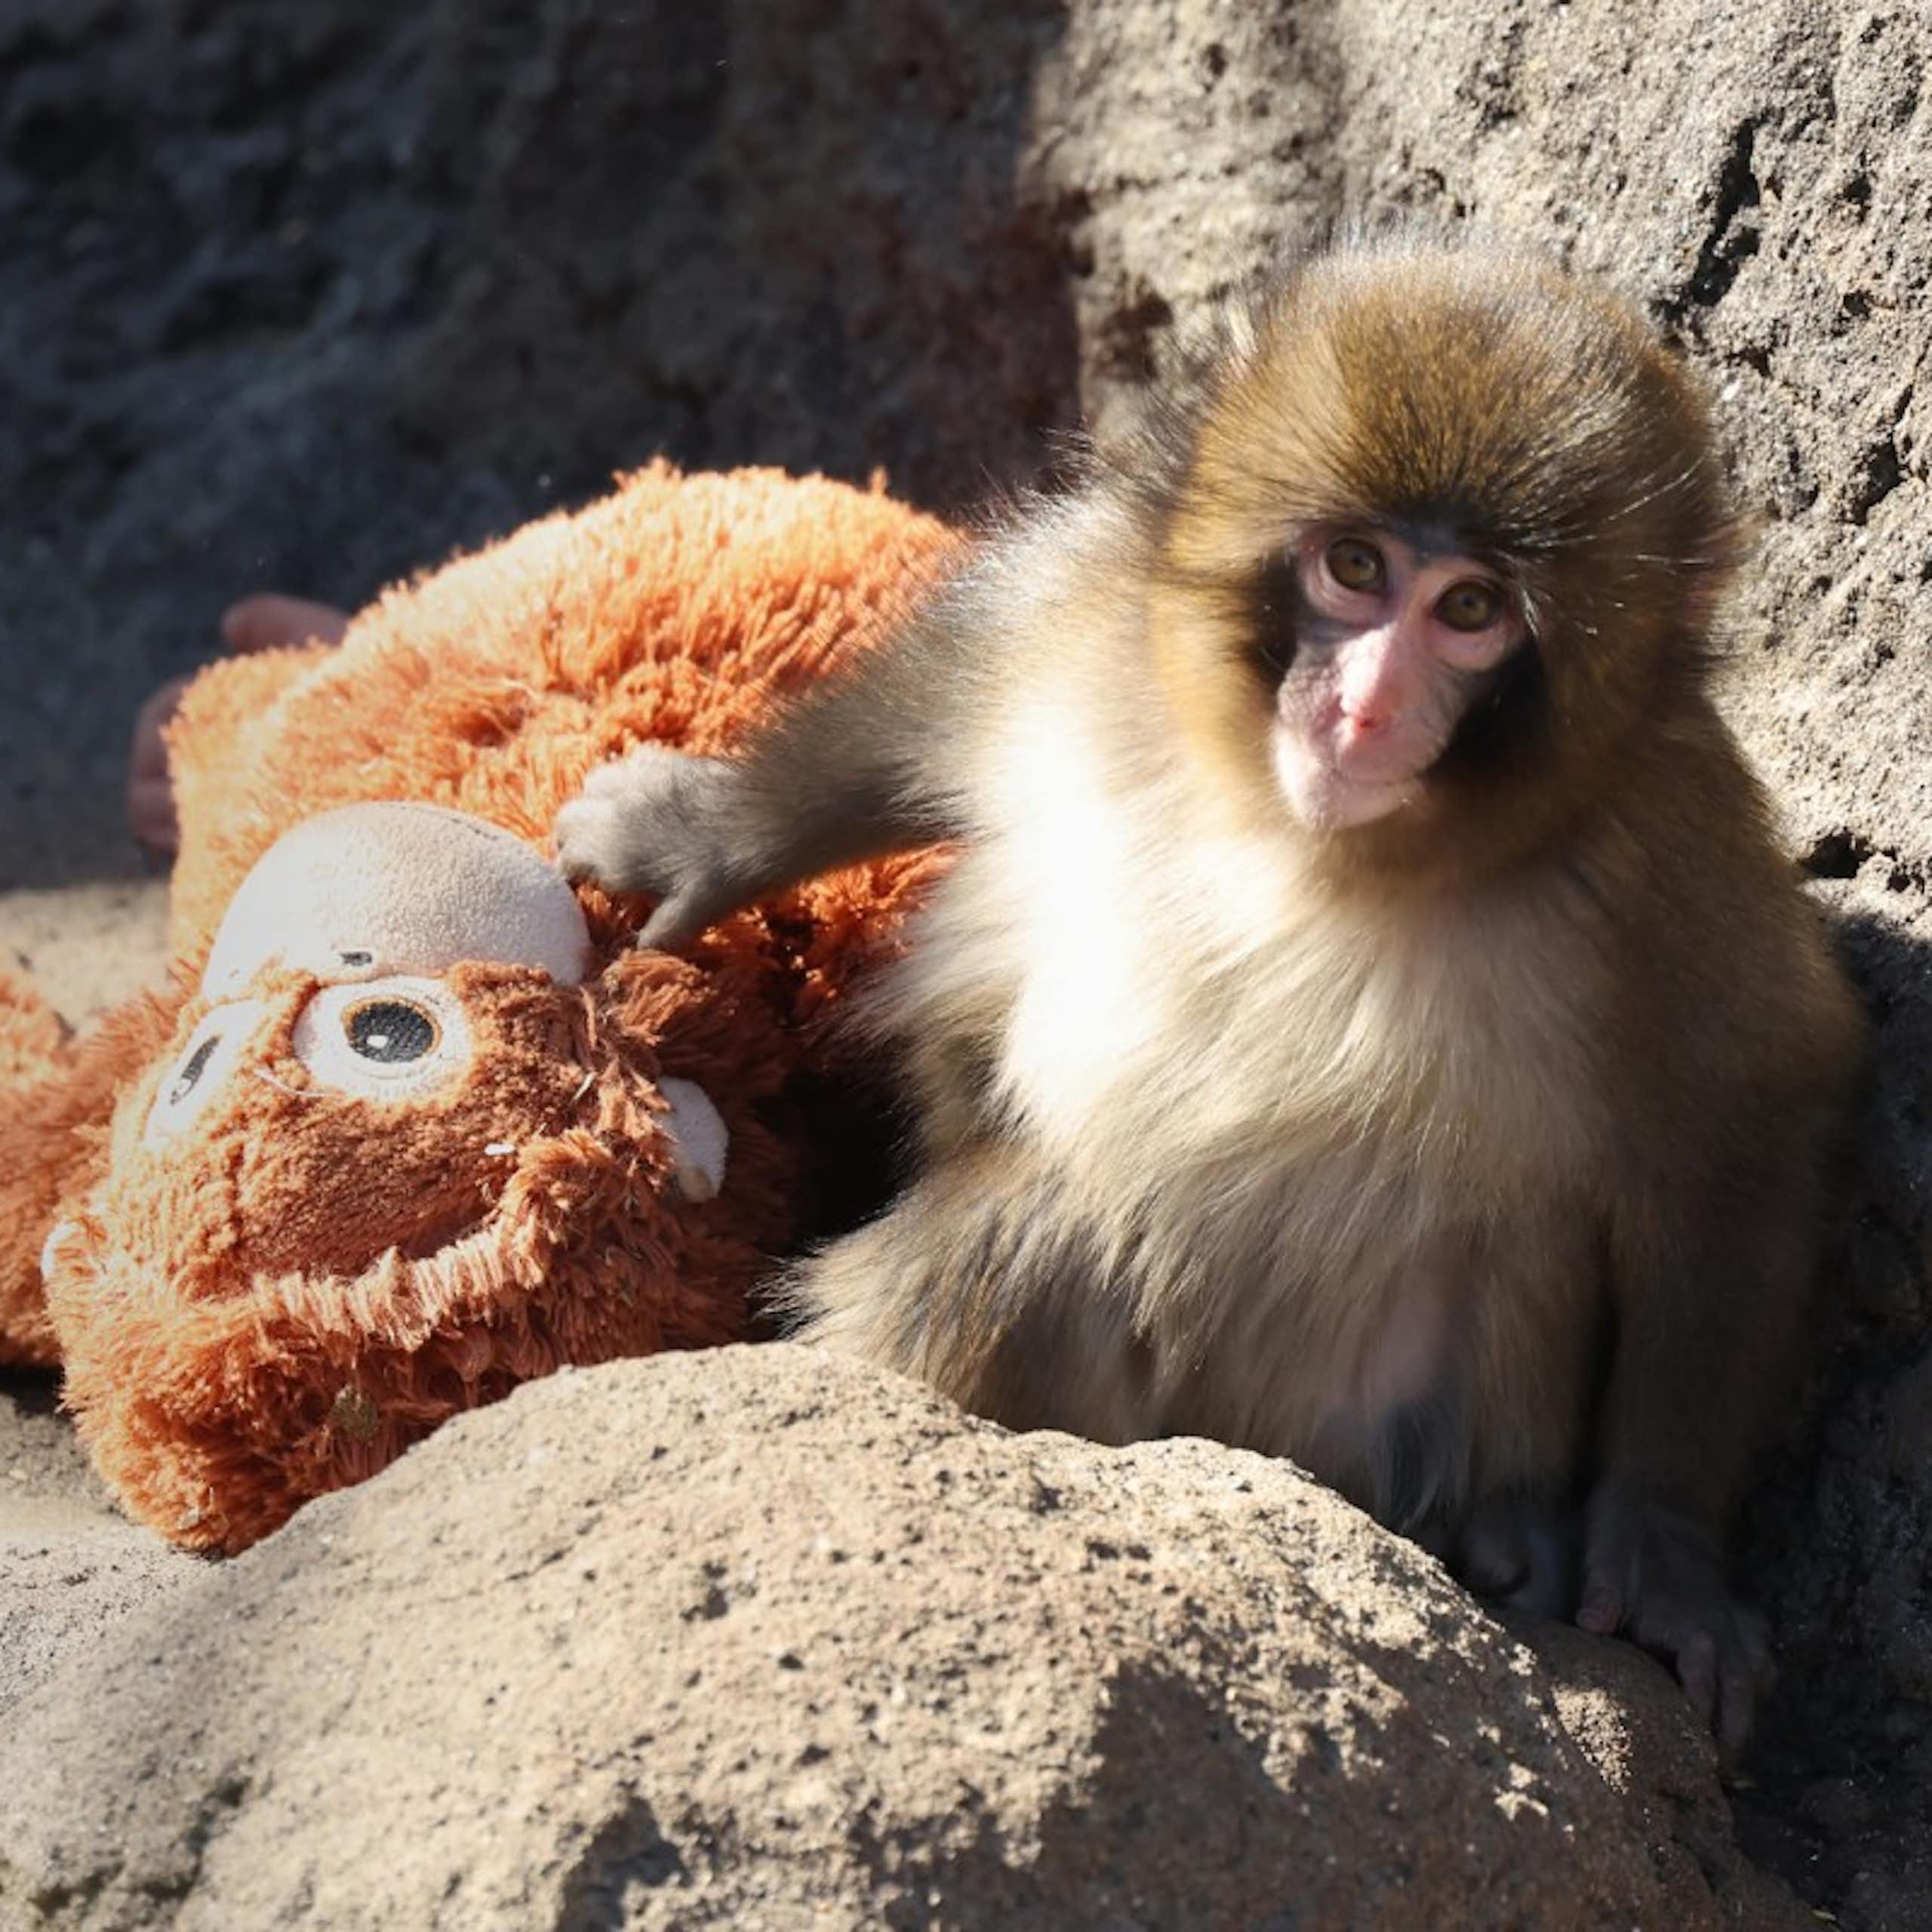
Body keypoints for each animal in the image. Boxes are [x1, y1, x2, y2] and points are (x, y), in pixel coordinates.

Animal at [555, 238, 1865, 1754]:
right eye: (1354, 568)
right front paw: (701, 837)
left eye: (1471, 612)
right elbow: (940, 694)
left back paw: (1509, 1532)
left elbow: (1748, 1116)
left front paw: (1665, 1554)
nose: (1363, 710)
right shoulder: (1097, 621)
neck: (1305, 839)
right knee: (1026, 1240)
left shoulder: (1666, 851)